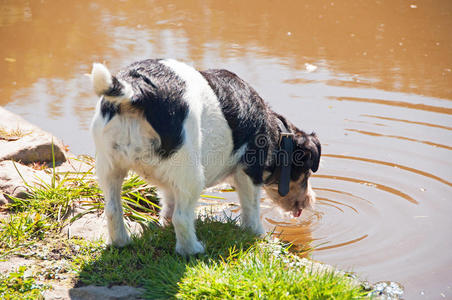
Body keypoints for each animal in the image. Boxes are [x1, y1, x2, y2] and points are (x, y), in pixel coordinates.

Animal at [89, 58, 322, 255]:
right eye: (307, 173)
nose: (310, 202)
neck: (276, 133)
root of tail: (136, 90)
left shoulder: (171, 182)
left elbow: (168, 202)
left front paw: (163, 223)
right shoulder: (248, 173)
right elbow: (251, 209)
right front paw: (257, 235)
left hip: (108, 167)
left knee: (112, 209)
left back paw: (121, 243)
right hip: (191, 172)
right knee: (182, 218)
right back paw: (193, 250)